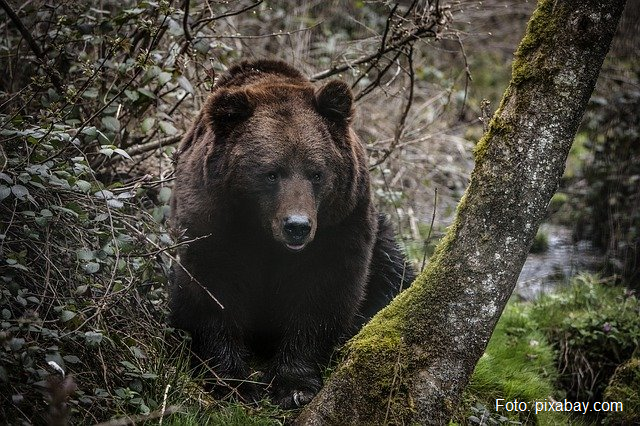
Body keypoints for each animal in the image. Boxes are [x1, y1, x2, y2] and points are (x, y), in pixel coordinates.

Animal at [168, 60, 412, 410]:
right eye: (271, 173)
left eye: (316, 173)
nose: (297, 225)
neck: (262, 232)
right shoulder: (213, 220)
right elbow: (213, 291)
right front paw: (233, 383)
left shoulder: (339, 225)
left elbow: (321, 295)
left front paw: (294, 386)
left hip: (381, 244)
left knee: (395, 275)